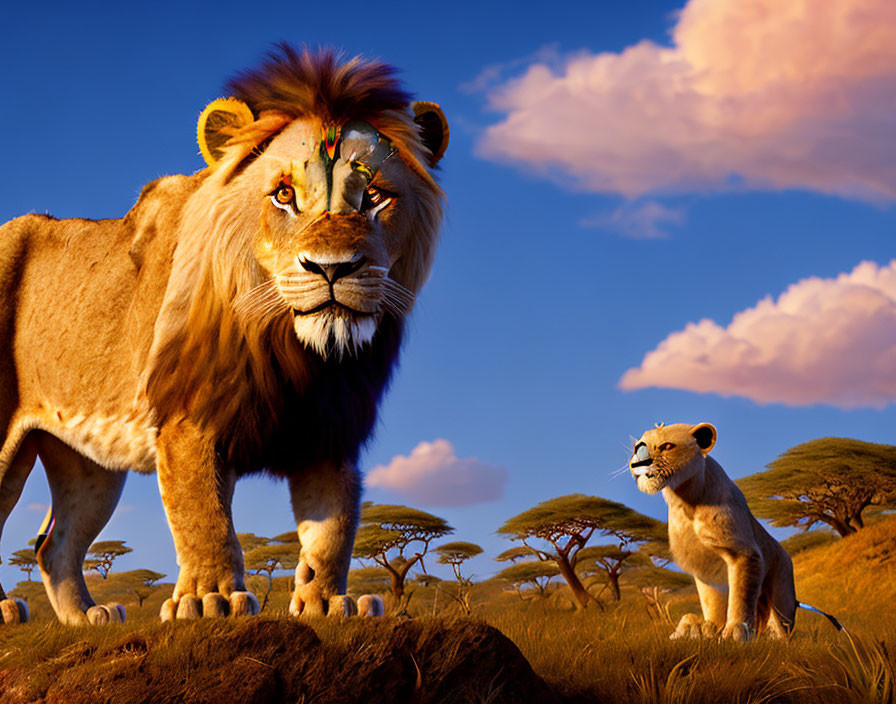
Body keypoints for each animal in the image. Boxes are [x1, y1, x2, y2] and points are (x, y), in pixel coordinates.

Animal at [0, 46, 448, 624]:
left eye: (374, 196)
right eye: (284, 195)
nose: (332, 268)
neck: (297, 351)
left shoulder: (330, 431)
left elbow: (335, 527)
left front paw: (327, 602)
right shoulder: (191, 418)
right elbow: (203, 517)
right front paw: (209, 600)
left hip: (88, 463)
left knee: (54, 545)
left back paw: (88, 618)